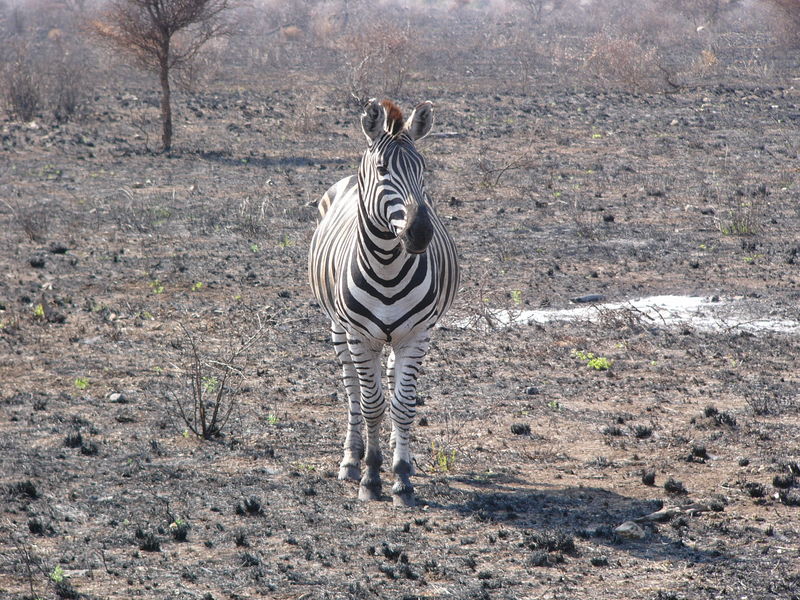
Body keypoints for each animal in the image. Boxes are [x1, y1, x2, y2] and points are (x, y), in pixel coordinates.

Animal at [308, 98, 460, 506]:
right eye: (382, 170)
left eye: (423, 169)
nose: (420, 233)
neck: (388, 266)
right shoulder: (361, 337)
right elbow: (371, 405)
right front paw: (371, 476)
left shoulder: (417, 335)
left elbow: (402, 405)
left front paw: (402, 476)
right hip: (338, 330)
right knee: (352, 390)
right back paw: (351, 460)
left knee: (391, 384)